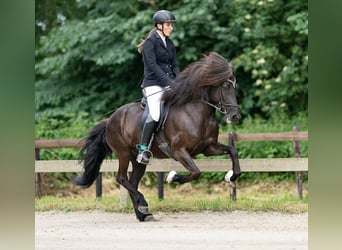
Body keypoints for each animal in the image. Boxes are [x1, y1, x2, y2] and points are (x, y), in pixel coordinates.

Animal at [73, 50, 240, 221]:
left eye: (235, 86)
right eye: (226, 86)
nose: (235, 117)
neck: (196, 113)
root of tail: (110, 120)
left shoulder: (208, 148)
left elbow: (233, 151)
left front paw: (230, 176)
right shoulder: (179, 151)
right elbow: (195, 172)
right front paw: (172, 177)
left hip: (137, 159)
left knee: (133, 181)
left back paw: (143, 213)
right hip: (123, 153)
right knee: (122, 178)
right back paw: (143, 204)